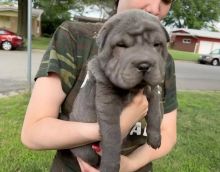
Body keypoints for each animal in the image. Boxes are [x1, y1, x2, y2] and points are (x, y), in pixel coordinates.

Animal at [69, 9, 168, 171]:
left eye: (156, 44)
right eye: (121, 45)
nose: (144, 65)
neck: (134, 89)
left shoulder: (152, 89)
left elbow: (155, 112)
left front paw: (155, 138)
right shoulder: (108, 103)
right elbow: (112, 135)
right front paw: (110, 165)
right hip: (82, 148)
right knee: (90, 156)